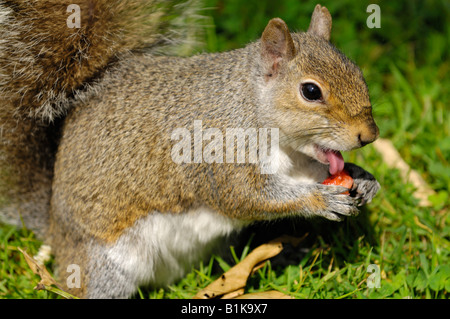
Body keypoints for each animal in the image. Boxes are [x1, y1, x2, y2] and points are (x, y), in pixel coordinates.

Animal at [0, 0, 382, 300]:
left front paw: (364, 179)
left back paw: (284, 252)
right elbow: (243, 196)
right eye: (311, 91)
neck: (249, 105)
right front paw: (320, 200)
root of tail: (54, 228)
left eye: (357, 70)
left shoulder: (295, 160)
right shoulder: (218, 152)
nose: (369, 135)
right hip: (103, 264)